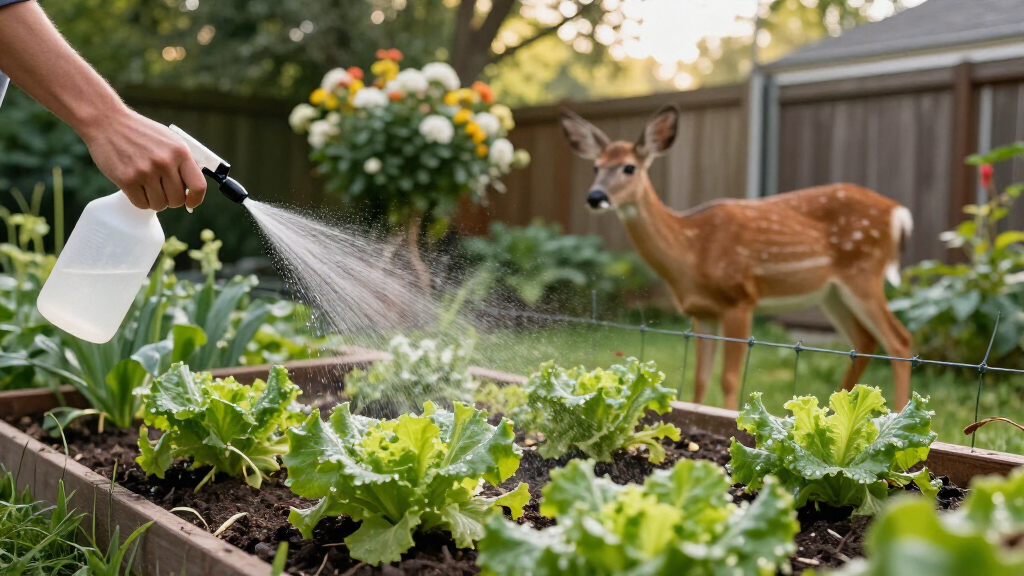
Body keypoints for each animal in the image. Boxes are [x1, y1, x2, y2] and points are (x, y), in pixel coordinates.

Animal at [559, 105, 915, 410]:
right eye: (595, 166)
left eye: (629, 167)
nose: (595, 197)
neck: (691, 252)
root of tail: (898, 213)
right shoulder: (702, 311)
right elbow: (699, 380)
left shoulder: (740, 298)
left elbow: (729, 378)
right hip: (831, 293)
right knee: (865, 340)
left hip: (863, 271)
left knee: (899, 340)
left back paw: (898, 415)